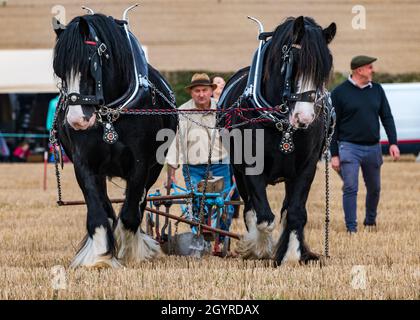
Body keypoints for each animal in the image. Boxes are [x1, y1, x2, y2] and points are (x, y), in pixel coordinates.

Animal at [218, 15, 336, 264]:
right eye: (294, 63)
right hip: (238, 172)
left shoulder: (306, 167)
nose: (304, 117)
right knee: (250, 208)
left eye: (324, 69)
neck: (283, 126)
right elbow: (264, 217)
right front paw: (260, 249)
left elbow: (295, 212)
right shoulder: (251, 167)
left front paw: (291, 255)